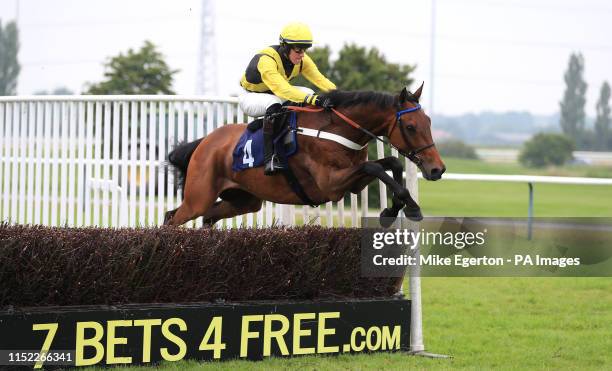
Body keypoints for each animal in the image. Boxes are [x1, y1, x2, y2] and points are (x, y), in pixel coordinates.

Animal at [165, 84, 448, 228]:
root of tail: (204, 143)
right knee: (173, 218)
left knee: (206, 216)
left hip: (243, 200)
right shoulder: (331, 185)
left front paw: (396, 208)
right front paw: (409, 206)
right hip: (199, 196)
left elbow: (392, 163)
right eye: (410, 126)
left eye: (428, 122)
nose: (437, 169)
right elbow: (376, 168)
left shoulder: (353, 182)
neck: (337, 128)